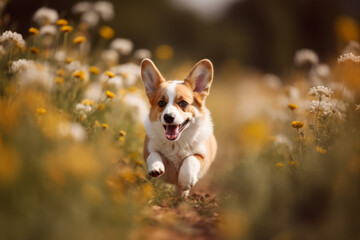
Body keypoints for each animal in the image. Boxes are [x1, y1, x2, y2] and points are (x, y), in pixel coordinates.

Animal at [140, 58, 217, 197]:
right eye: (161, 103)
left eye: (183, 103)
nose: (168, 117)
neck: (176, 143)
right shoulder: (150, 150)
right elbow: (154, 155)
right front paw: (155, 167)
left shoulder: (201, 155)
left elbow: (190, 159)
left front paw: (186, 180)